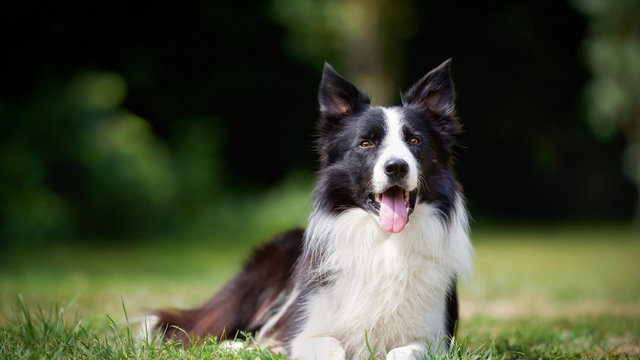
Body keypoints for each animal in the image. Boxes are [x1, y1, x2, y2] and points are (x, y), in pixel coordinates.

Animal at [150, 59, 470, 360]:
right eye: (366, 143)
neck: (384, 243)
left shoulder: (436, 340)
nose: (396, 167)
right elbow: (330, 346)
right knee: (202, 334)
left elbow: (403, 351)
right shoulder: (307, 332)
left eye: (415, 141)